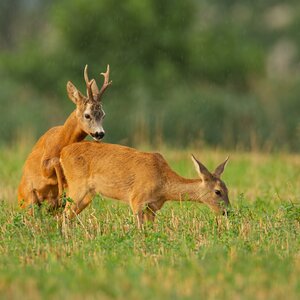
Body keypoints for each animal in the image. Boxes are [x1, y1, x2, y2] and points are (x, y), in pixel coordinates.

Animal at [17, 63, 111, 211]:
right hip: (27, 200)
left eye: (103, 114)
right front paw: (62, 194)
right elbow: (56, 161)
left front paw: (62, 195)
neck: (61, 140)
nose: (100, 133)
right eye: (87, 115)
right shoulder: (44, 165)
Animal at [60, 142, 230, 226]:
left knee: (69, 214)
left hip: (88, 195)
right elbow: (140, 228)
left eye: (227, 189)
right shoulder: (137, 199)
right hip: (77, 185)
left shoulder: (153, 206)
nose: (227, 212)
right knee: (65, 213)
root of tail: (62, 153)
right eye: (218, 191)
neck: (163, 184)